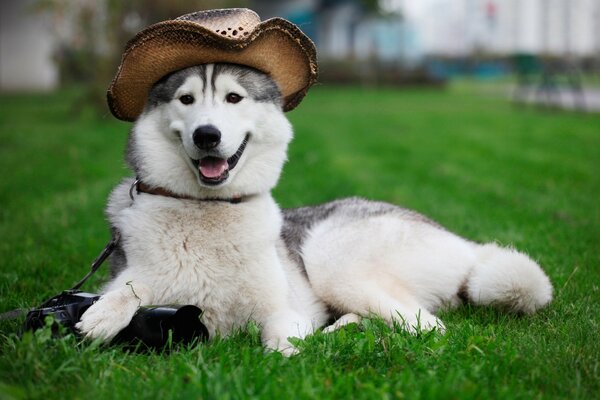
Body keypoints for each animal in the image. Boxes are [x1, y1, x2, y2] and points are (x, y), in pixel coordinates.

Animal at [75, 62, 552, 354]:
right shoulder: (138, 276)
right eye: (186, 100)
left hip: (331, 260)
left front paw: (293, 352)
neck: (208, 212)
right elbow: (129, 288)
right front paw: (104, 314)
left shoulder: (283, 312)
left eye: (233, 98)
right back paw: (345, 329)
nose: (207, 135)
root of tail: (464, 244)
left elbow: (278, 347)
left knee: (427, 326)